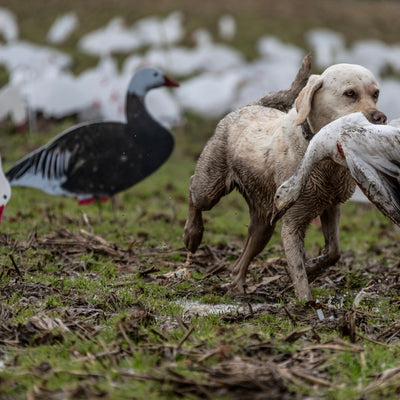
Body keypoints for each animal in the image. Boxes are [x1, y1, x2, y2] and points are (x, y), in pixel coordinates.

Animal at [184, 62, 388, 300]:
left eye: (376, 94)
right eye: (350, 93)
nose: (380, 117)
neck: (322, 158)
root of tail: (249, 106)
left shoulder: (330, 207)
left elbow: (333, 251)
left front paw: (312, 266)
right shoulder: (292, 221)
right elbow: (298, 272)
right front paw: (306, 301)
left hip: (264, 224)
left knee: (242, 259)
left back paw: (237, 285)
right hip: (210, 186)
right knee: (193, 190)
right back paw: (192, 235)